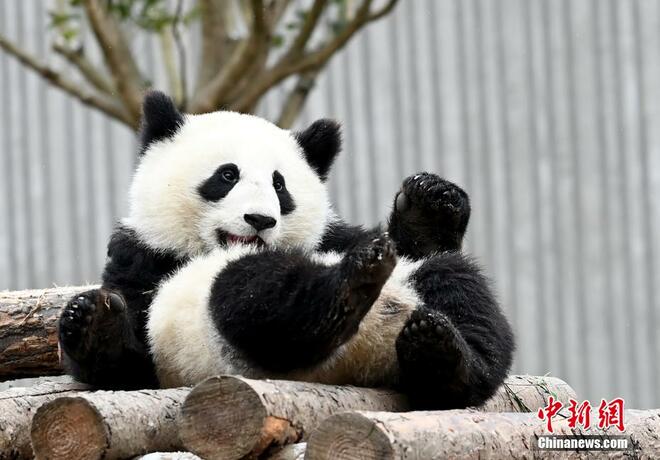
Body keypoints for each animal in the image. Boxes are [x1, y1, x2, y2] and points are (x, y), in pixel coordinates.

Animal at [58, 91, 514, 409]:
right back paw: (349, 289)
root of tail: (371, 351)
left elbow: (416, 245)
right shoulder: (144, 257)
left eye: (280, 185)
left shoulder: (329, 238)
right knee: (254, 295)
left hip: (417, 288)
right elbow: (129, 363)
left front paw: (430, 203)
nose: (261, 219)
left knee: (457, 289)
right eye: (227, 175)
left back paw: (440, 351)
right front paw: (94, 322)